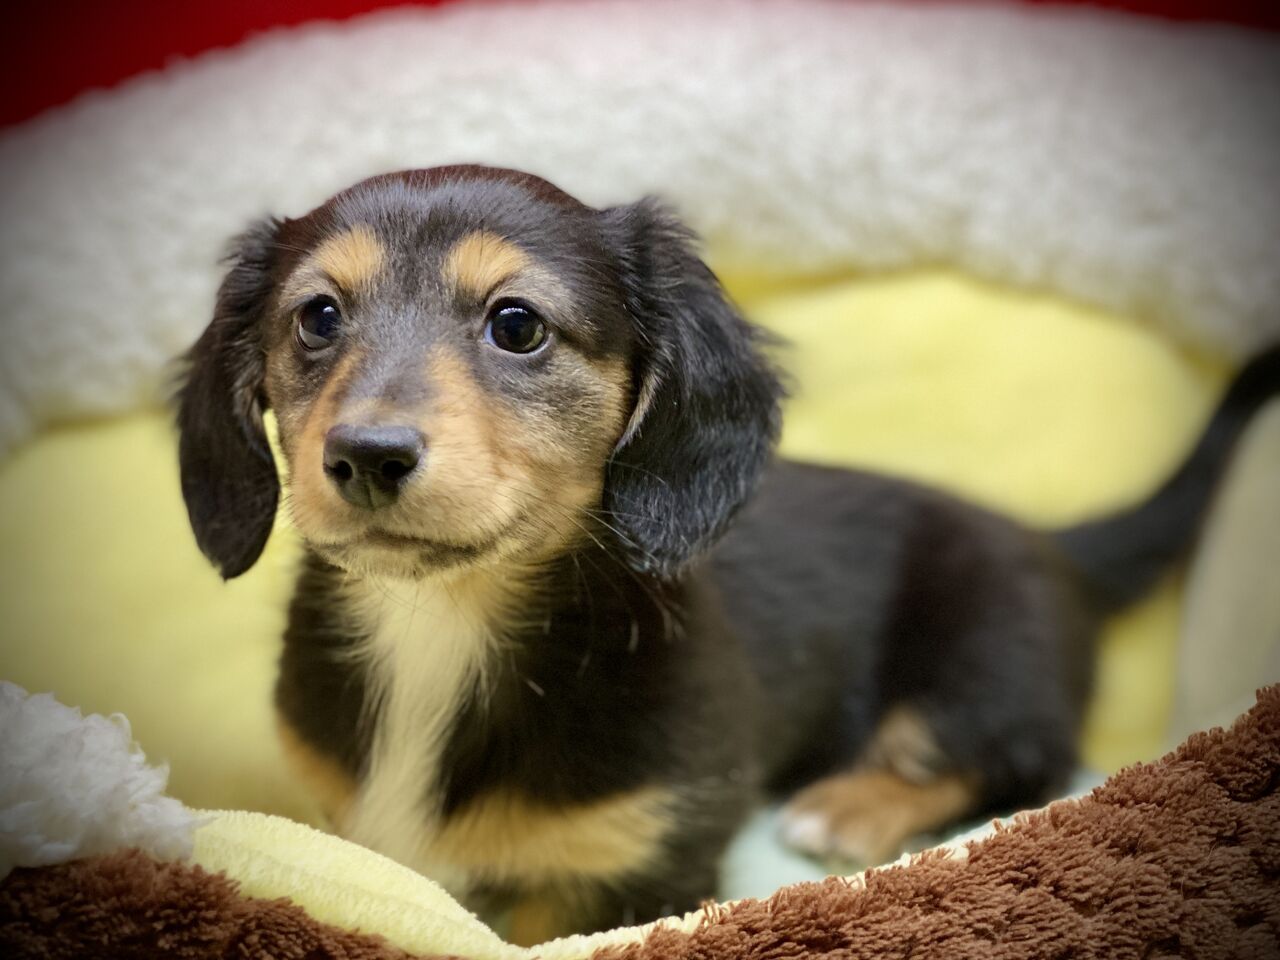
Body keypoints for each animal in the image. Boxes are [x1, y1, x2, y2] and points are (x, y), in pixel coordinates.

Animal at [176, 165, 1280, 943]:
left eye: (516, 325)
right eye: (318, 317)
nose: (365, 456)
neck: (445, 628)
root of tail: (1049, 544)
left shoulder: (635, 868)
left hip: (983, 656)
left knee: (1018, 761)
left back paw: (847, 807)